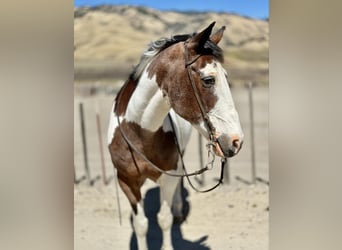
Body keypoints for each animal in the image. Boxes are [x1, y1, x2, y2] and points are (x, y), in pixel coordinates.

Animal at [108, 22, 244, 249]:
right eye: (208, 80)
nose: (236, 141)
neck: (139, 133)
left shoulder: (169, 177)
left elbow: (164, 219)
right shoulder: (127, 181)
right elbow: (141, 224)